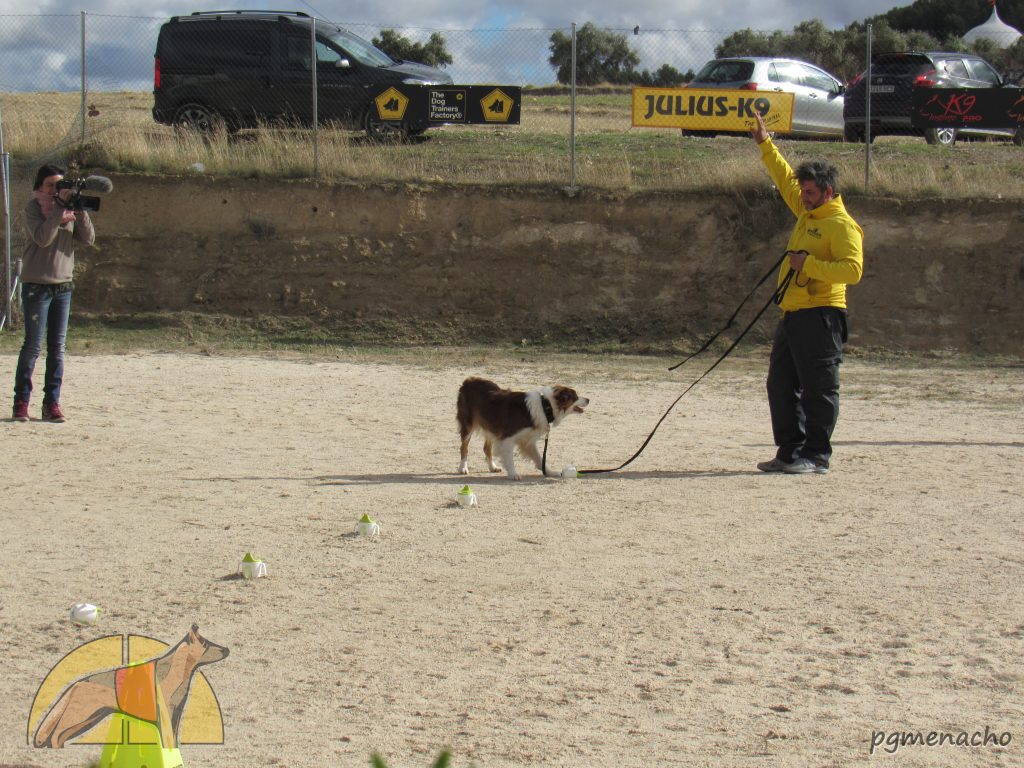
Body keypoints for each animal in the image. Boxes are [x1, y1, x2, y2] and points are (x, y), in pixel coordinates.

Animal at [458, 376, 593, 481]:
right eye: (575, 397)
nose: (588, 399)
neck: (546, 406)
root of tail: (468, 380)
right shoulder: (507, 437)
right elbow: (509, 458)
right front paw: (513, 474)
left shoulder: (527, 440)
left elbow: (539, 458)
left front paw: (549, 472)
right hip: (468, 425)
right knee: (464, 448)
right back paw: (463, 468)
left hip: (491, 425)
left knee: (486, 448)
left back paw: (492, 467)